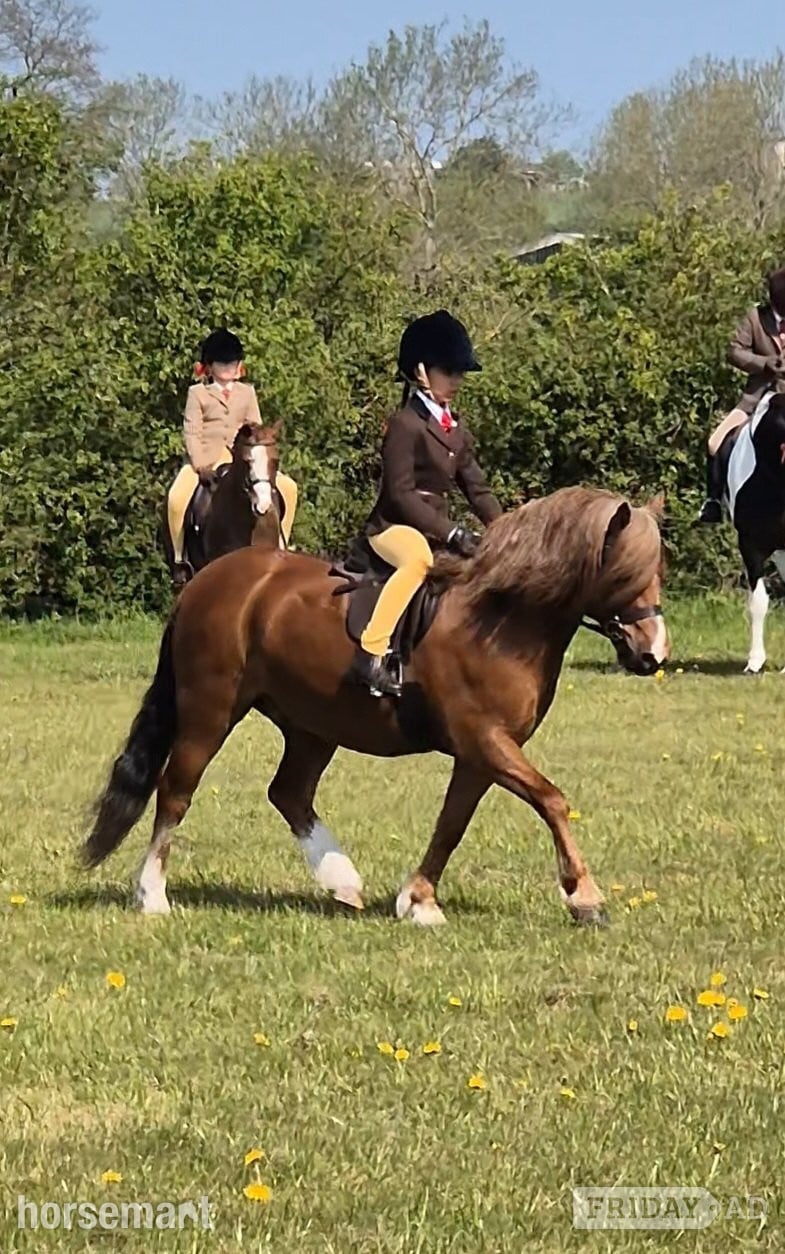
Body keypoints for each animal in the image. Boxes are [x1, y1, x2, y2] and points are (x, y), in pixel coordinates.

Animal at [84, 486, 667, 929]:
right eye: (624, 574)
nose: (653, 655)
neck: (503, 618)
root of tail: (206, 580)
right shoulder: (483, 739)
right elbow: (551, 800)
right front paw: (585, 897)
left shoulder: (481, 753)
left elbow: (452, 823)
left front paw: (419, 900)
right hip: (211, 707)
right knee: (176, 789)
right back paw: (152, 895)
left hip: (313, 722)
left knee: (289, 792)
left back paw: (342, 882)